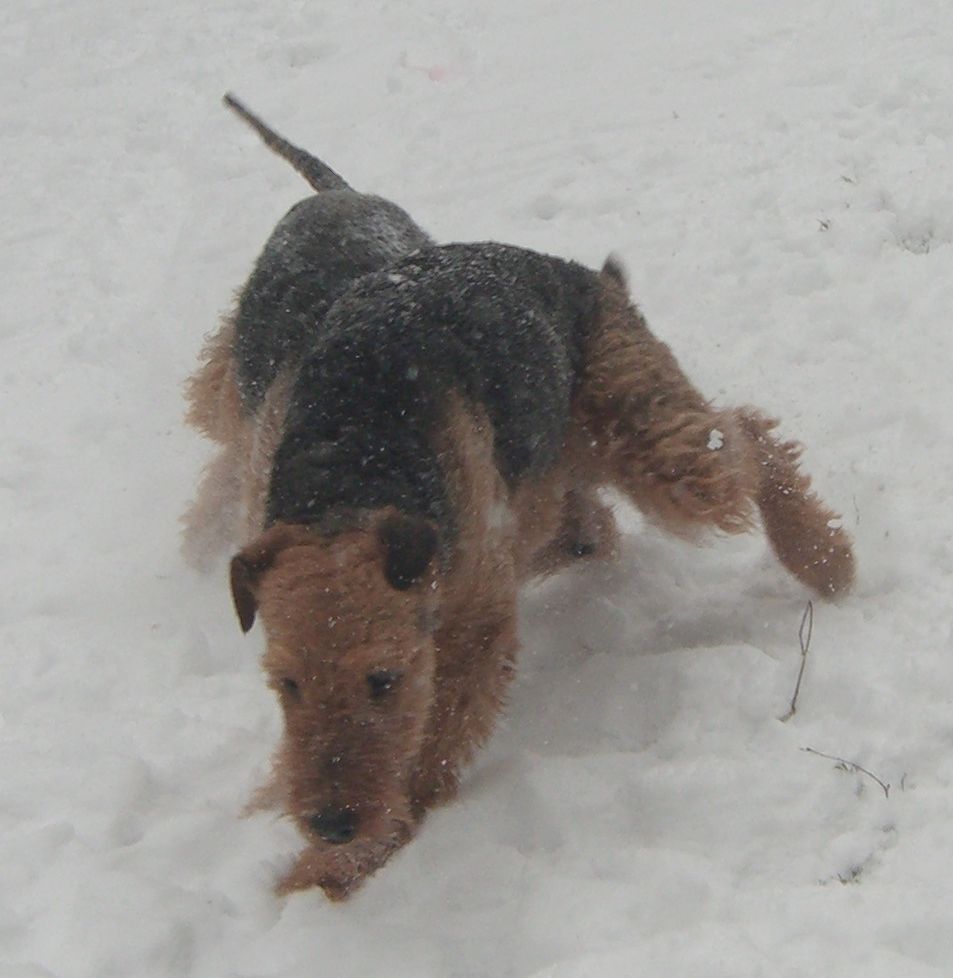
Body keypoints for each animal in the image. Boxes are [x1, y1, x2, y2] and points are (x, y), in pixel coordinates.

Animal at [184, 109, 854, 902]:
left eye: (384, 680)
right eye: (285, 683)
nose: (332, 822)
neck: (355, 466)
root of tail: (582, 274)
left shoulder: (473, 623)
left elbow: (429, 755)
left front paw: (338, 865)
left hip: (655, 446)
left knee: (746, 434)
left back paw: (825, 557)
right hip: (571, 466)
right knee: (605, 517)